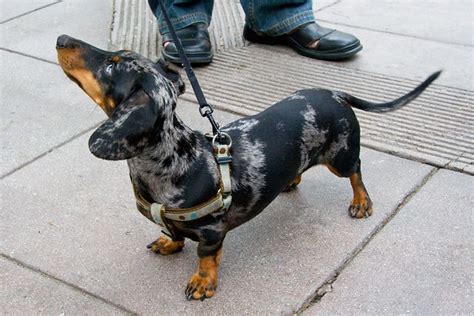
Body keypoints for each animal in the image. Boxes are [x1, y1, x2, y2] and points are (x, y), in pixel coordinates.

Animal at [56, 35, 440, 302]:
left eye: (111, 67)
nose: (61, 39)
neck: (173, 156)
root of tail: (334, 93)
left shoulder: (212, 231)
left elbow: (205, 257)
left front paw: (203, 283)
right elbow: (173, 232)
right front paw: (169, 242)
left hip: (341, 158)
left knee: (357, 171)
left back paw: (361, 202)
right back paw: (291, 180)